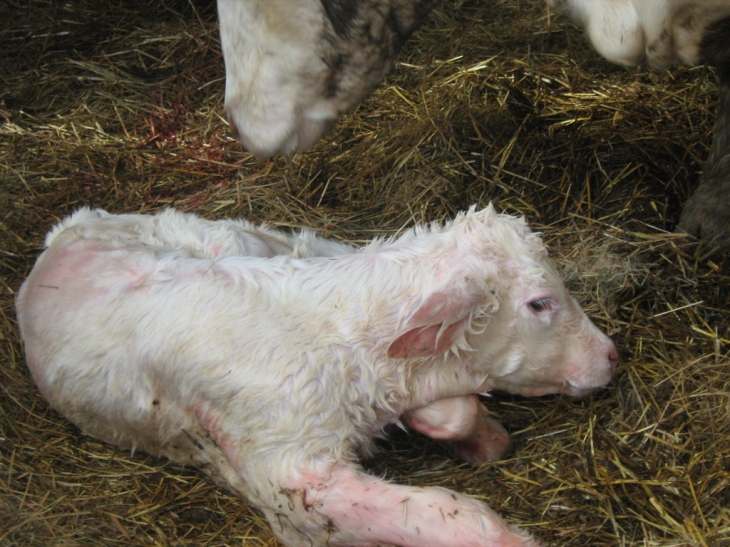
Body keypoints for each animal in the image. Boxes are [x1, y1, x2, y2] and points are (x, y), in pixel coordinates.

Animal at [17, 206, 616, 547]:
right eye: (539, 304)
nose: (610, 356)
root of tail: (63, 234)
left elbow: (457, 409)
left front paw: (480, 437)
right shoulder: (292, 478)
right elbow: (443, 517)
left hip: (231, 238)